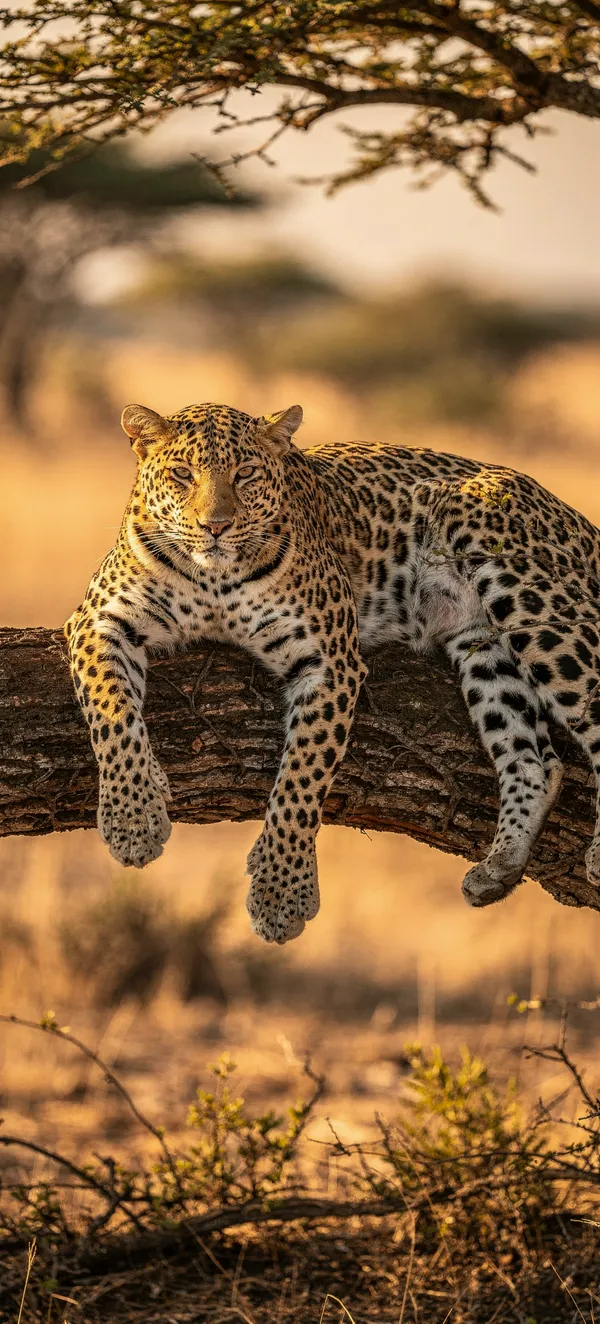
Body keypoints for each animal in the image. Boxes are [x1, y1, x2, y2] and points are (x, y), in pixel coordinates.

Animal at [65, 400, 600, 944]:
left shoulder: (330, 662)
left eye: (245, 473)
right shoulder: (98, 621)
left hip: (532, 599)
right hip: (482, 644)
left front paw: (281, 893)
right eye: (181, 474)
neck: (214, 579)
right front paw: (134, 819)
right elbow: (112, 715)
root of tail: (574, 514)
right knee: (537, 760)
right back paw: (498, 868)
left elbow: (301, 779)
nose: (215, 526)